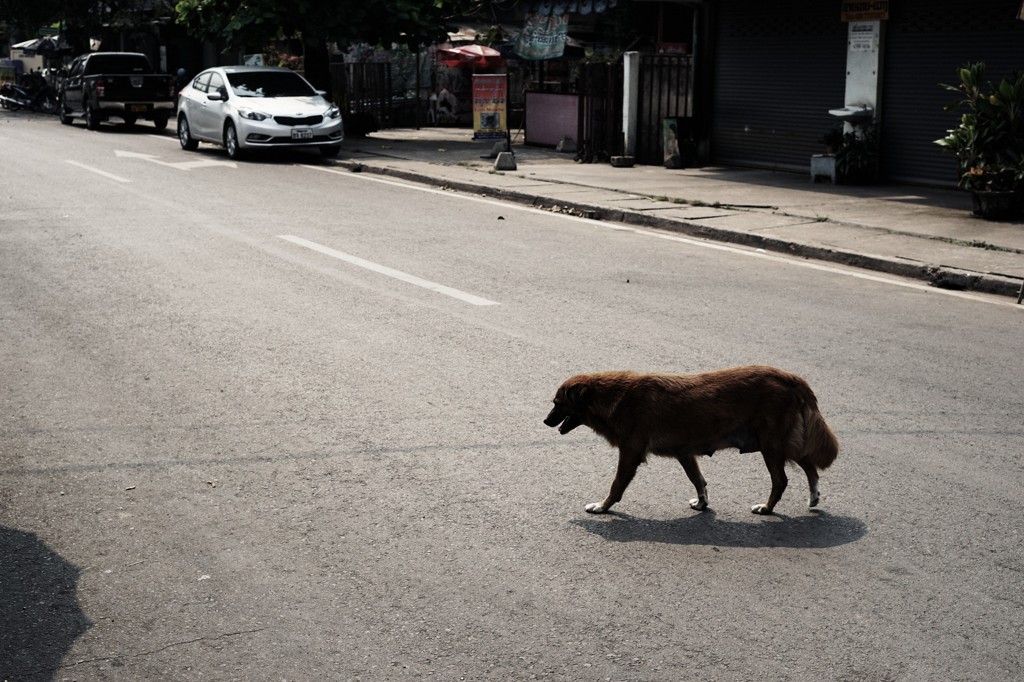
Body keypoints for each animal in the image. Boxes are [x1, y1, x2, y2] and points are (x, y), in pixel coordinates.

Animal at [544, 364, 839, 512]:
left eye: (557, 403)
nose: (545, 421)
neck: (613, 396)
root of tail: (790, 378)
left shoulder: (630, 453)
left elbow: (616, 486)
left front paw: (602, 507)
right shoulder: (684, 453)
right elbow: (698, 479)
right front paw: (702, 502)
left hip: (772, 445)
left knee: (782, 480)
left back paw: (767, 508)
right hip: (784, 442)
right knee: (810, 465)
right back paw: (813, 497)